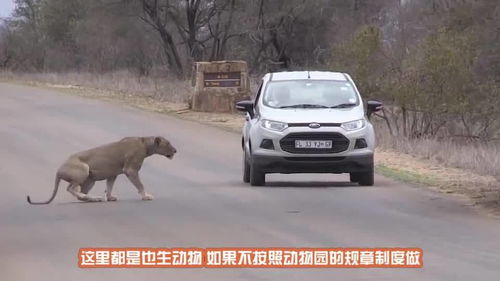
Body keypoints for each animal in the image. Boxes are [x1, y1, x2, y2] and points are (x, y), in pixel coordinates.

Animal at [26, 136, 178, 203]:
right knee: (71, 189)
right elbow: (140, 184)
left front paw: (110, 197)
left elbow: (109, 186)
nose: (176, 150)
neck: (145, 144)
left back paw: (93, 198)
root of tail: (58, 170)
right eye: (168, 144)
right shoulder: (131, 170)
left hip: (90, 180)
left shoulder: (113, 174)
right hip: (84, 168)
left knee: (79, 193)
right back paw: (90, 197)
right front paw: (146, 196)